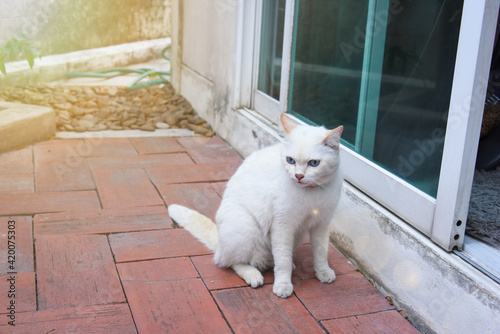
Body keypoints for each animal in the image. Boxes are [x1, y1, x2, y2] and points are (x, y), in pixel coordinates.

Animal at [168, 113, 344, 298]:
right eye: (290, 160)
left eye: (314, 163)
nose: (298, 176)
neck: (311, 192)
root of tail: (220, 241)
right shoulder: (283, 226)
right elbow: (283, 261)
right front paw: (283, 285)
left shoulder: (321, 224)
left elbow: (321, 252)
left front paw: (323, 272)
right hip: (245, 227)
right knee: (229, 261)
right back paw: (253, 274)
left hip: (295, 236)